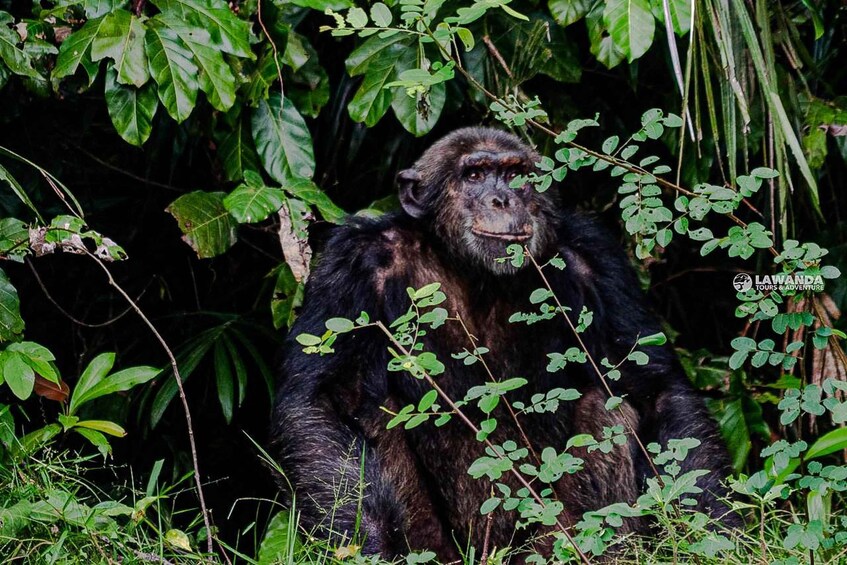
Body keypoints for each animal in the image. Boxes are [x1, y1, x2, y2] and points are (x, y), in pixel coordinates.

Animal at [270, 127, 737, 560]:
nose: (502, 199)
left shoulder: (597, 258)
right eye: (475, 174)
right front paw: (365, 547)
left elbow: (653, 388)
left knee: (610, 408)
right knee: (371, 416)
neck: (472, 271)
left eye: (516, 175)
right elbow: (326, 398)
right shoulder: (352, 265)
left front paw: (711, 537)